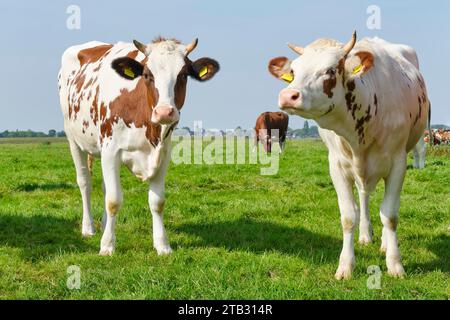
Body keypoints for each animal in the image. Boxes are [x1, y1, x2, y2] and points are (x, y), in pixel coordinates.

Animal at [58, 37, 220, 255]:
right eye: (147, 75)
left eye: (183, 75)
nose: (164, 112)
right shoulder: (111, 151)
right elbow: (114, 200)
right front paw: (107, 245)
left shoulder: (164, 153)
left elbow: (157, 202)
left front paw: (162, 245)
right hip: (73, 140)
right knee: (85, 182)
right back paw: (88, 228)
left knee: (104, 186)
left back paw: (103, 224)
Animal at [268, 31, 430, 278]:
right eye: (293, 70)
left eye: (330, 70)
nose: (288, 95)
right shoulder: (336, 166)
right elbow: (348, 216)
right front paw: (345, 265)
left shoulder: (398, 163)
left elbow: (390, 215)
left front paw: (395, 264)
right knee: (363, 196)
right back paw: (365, 235)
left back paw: (384, 243)